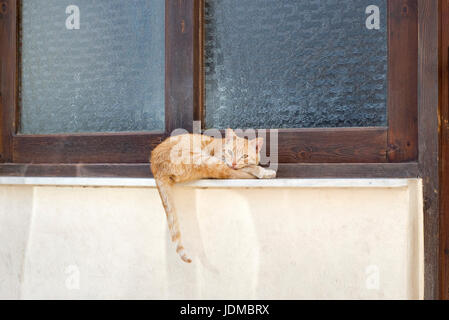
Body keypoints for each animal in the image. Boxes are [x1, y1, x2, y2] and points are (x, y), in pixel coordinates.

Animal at [152, 129, 274, 264]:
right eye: (230, 152)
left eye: (245, 156)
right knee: (230, 173)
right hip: (204, 159)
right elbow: (248, 167)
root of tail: (156, 167)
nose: (234, 163)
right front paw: (263, 171)